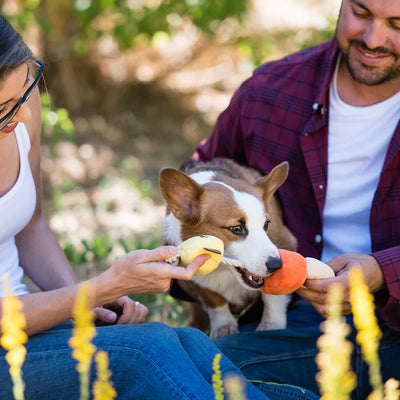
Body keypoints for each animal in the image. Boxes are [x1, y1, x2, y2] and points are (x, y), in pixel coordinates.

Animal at [159, 158, 296, 340]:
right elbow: (214, 300)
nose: (276, 265)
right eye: (236, 228)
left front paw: (272, 325)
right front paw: (224, 326)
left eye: (266, 224)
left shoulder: (287, 243)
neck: (224, 270)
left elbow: (273, 296)